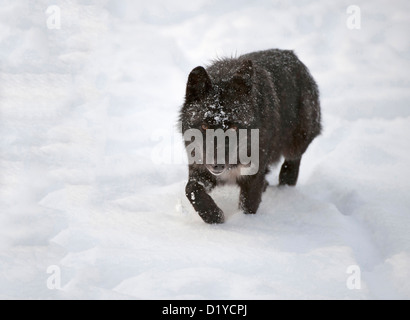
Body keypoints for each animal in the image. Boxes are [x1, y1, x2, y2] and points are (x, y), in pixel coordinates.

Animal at [179, 48, 320, 224]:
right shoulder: (200, 168)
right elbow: (191, 188)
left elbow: (248, 207)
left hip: (298, 141)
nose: (217, 164)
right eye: (204, 126)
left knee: (292, 162)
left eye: (233, 128)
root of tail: (291, 54)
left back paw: (285, 187)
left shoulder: (253, 176)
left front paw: (245, 224)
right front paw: (213, 216)